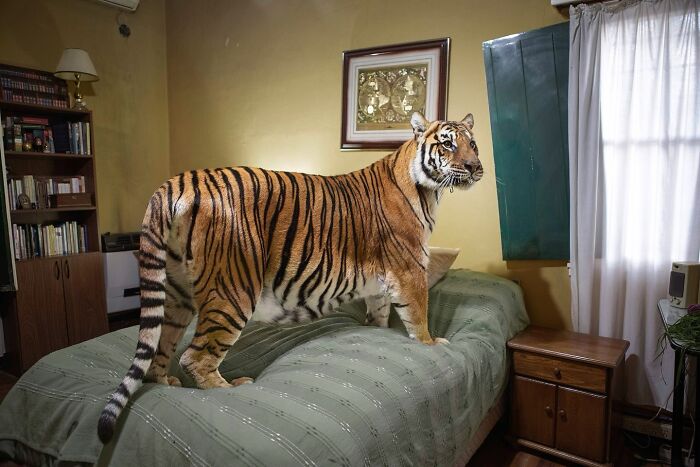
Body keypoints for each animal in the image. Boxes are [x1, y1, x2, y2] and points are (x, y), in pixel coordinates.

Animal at [97, 112, 482, 443]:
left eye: (473, 144)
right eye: (447, 144)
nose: (475, 167)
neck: (428, 189)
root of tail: (178, 179)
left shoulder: (379, 287)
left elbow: (379, 318)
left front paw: (379, 333)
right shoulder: (410, 270)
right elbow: (418, 318)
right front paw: (433, 345)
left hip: (176, 293)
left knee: (158, 350)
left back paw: (168, 384)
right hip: (234, 291)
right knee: (197, 356)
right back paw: (233, 388)